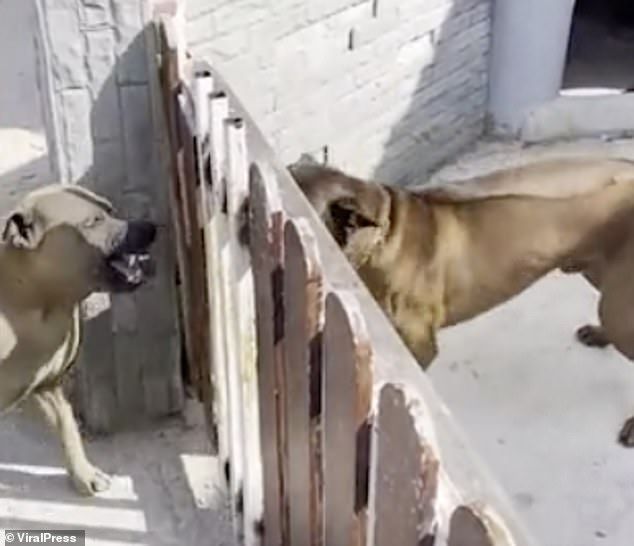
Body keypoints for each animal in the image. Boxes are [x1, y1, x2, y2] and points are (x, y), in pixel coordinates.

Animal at [0, 184, 157, 492]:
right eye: (93, 222)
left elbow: (68, 427)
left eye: (111, 211)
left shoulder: (48, 385)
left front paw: (84, 473)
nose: (150, 227)